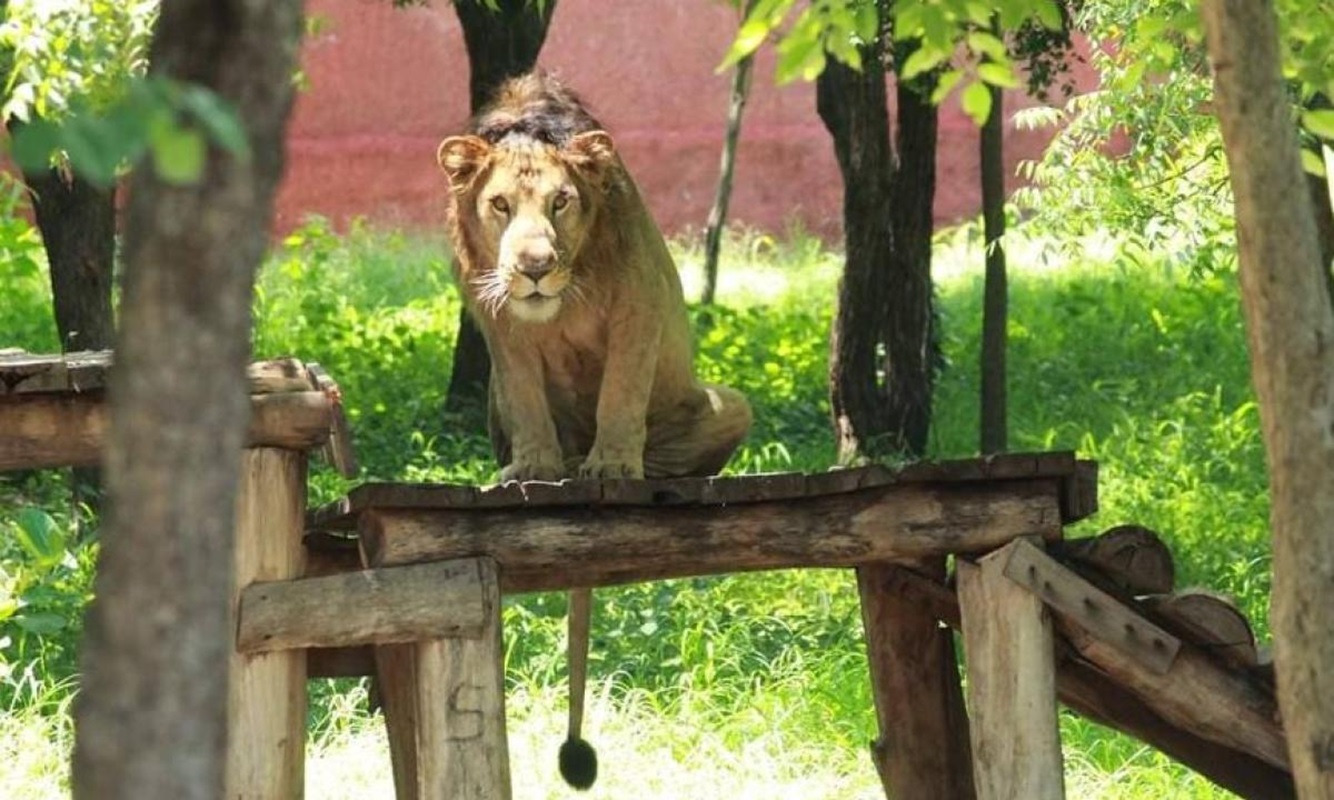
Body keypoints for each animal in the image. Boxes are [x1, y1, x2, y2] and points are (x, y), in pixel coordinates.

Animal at [437, 72, 752, 789]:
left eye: (561, 202)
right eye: (499, 205)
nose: (533, 266)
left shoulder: (639, 298)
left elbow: (622, 390)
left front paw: (612, 467)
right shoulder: (492, 312)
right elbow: (526, 392)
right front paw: (532, 468)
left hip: (734, 403)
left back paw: (619, 469)